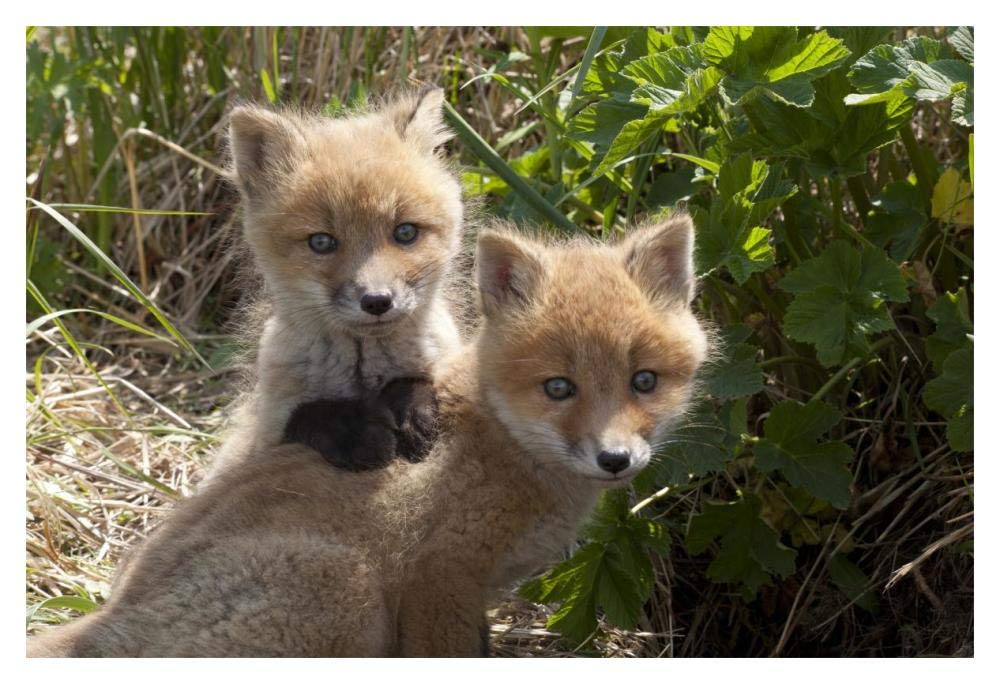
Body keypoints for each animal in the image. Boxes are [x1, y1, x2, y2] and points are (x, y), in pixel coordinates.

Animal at [27, 215, 708, 657]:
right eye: (559, 387)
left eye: (644, 381)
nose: (615, 458)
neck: (501, 443)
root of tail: (114, 618)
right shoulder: (439, 579)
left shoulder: (472, 596)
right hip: (349, 592)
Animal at [209, 86, 464, 476]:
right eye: (321, 242)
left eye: (405, 232)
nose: (377, 301)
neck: (362, 373)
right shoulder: (262, 434)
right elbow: (309, 414)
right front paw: (356, 433)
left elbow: (419, 381)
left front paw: (411, 411)